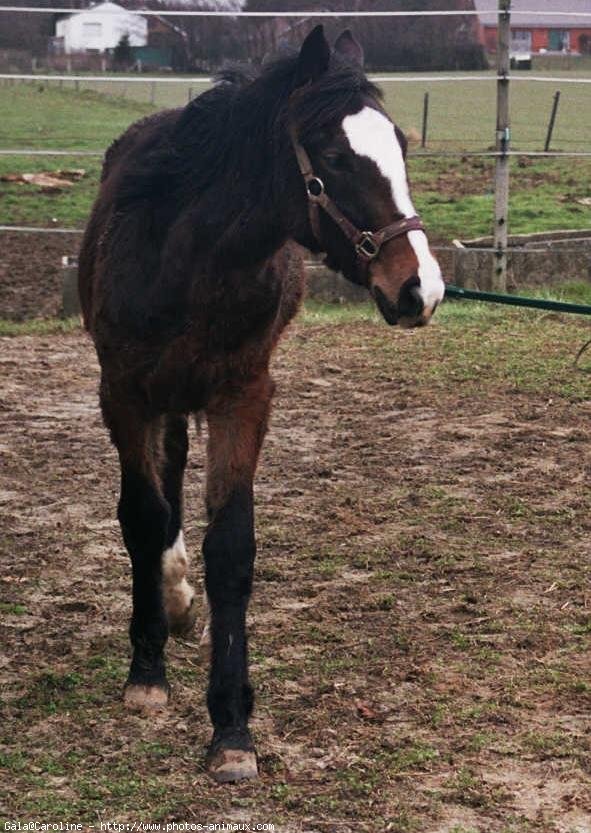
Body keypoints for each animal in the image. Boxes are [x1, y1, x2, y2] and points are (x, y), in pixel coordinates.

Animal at [77, 26, 444, 780]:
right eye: (334, 157)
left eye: (399, 143)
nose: (420, 289)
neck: (184, 261)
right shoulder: (122, 393)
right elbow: (140, 516)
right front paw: (146, 670)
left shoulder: (243, 395)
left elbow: (231, 548)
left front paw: (232, 728)